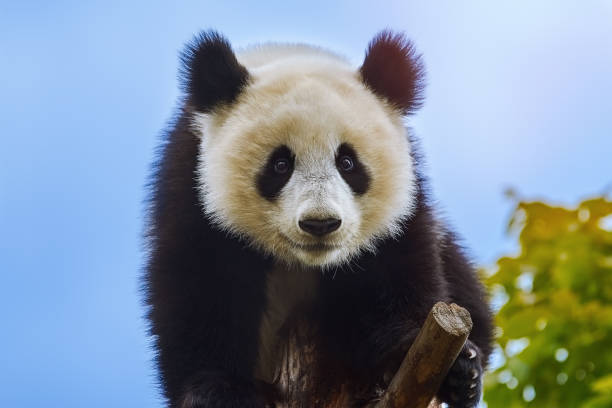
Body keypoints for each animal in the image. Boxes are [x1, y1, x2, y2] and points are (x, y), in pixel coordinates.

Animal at [146, 29, 494, 408]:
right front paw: (218, 391)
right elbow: (202, 284)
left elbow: (395, 269)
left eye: (347, 162)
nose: (320, 223)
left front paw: (428, 358)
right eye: (280, 164)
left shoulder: (404, 202)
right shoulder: (192, 182)